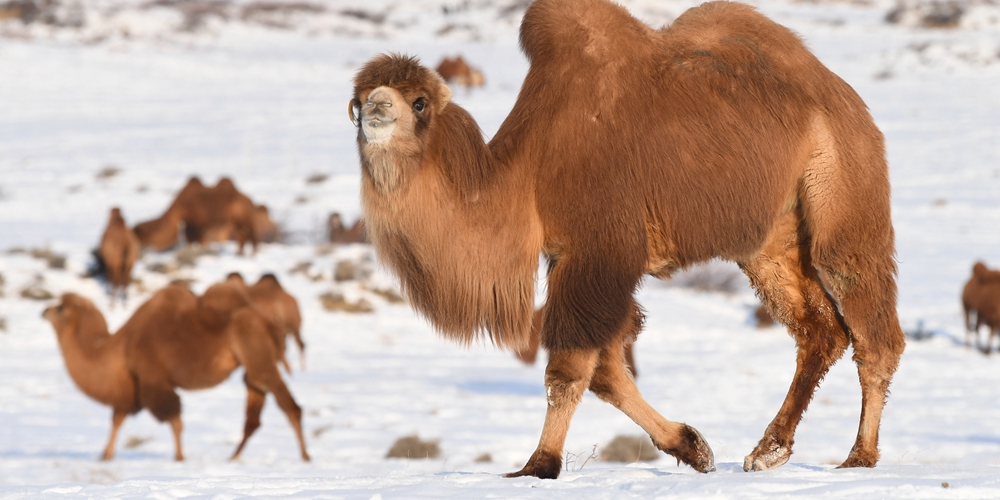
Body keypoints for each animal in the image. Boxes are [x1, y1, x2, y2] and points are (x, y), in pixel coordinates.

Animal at [43, 282, 308, 460]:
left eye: (61, 308)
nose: (43, 311)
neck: (120, 346)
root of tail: (270, 322)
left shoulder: (153, 379)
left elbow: (173, 418)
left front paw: (179, 458)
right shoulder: (134, 385)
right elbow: (119, 418)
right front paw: (104, 455)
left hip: (256, 351)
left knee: (288, 405)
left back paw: (305, 457)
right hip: (252, 365)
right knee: (255, 410)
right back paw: (233, 457)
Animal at [352, 0, 908, 478]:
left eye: (419, 102)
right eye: (357, 101)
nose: (377, 106)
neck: (527, 173)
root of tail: (842, 96)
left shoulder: (602, 249)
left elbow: (570, 367)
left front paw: (539, 465)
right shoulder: (570, 257)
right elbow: (605, 369)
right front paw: (693, 446)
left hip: (844, 188)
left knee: (870, 322)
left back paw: (859, 456)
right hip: (768, 241)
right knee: (820, 329)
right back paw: (770, 449)